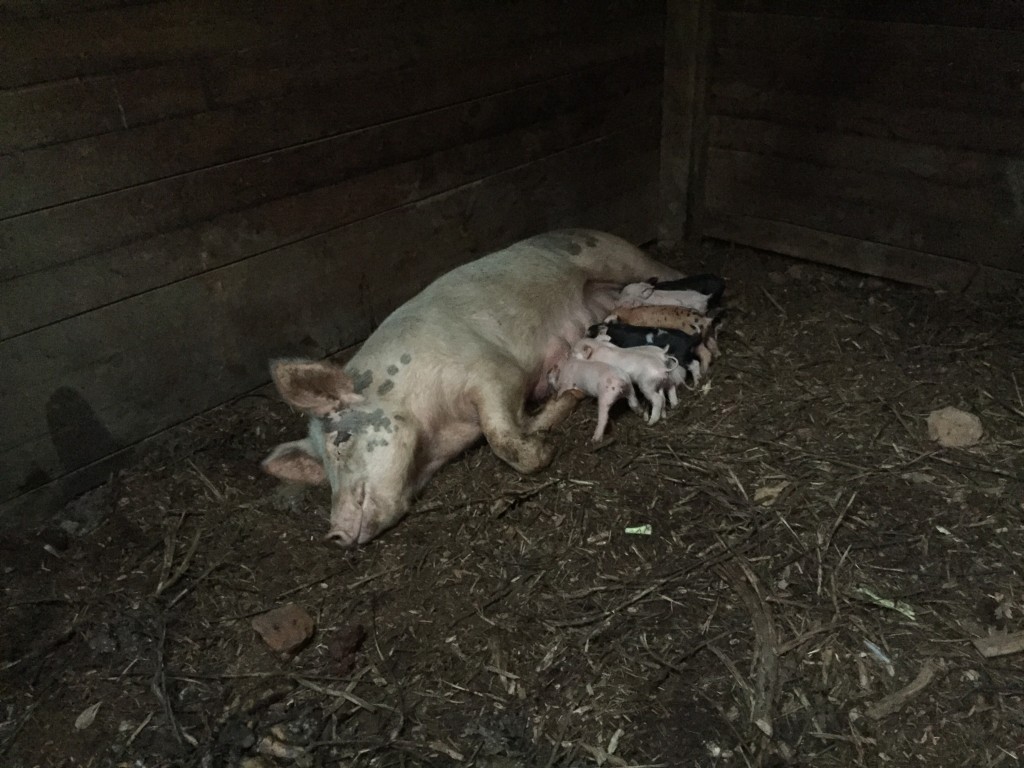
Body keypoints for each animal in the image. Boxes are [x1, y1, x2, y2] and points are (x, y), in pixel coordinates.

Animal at [262, 228, 679, 548]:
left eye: (341, 440)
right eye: (323, 468)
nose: (334, 534)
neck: (440, 432)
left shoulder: (494, 369)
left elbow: (500, 435)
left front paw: (545, 448)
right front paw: (554, 412)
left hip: (615, 255)